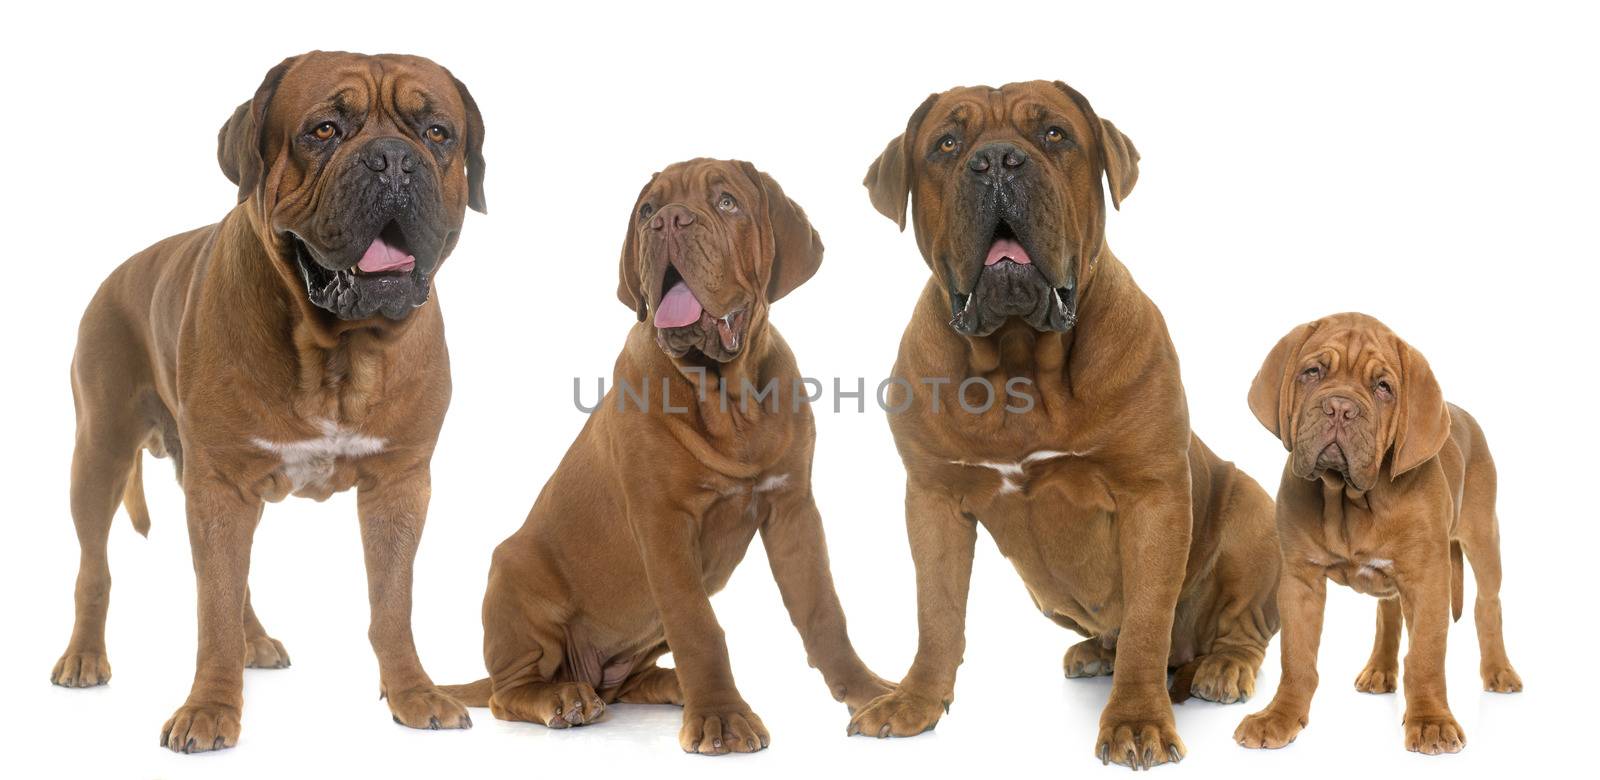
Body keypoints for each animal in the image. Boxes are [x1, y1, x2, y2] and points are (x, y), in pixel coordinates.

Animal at [54, 51, 486, 751]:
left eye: (437, 133)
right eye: (324, 130)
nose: (394, 159)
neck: (337, 351)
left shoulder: (399, 484)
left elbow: (392, 602)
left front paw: (413, 693)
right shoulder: (221, 485)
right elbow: (212, 610)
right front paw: (208, 709)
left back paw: (253, 640)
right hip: (100, 451)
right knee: (97, 568)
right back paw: (84, 657)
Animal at [444, 159, 896, 754]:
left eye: (727, 203)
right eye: (646, 211)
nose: (669, 223)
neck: (726, 401)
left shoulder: (793, 509)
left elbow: (824, 611)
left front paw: (871, 693)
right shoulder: (662, 521)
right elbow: (698, 624)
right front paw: (722, 717)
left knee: (624, 683)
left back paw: (671, 685)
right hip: (513, 571)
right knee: (509, 691)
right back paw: (562, 697)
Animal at [844, 80, 1280, 767]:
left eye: (1054, 135)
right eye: (947, 144)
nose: (997, 161)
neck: (1019, 366)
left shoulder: (1152, 496)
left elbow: (1148, 622)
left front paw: (1137, 721)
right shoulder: (933, 499)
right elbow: (936, 613)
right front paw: (915, 702)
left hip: (1253, 513)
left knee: (1241, 627)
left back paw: (1222, 668)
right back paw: (1095, 653)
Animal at [1235, 311, 1523, 754]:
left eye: (1383, 387)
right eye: (1312, 372)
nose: (1339, 407)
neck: (1349, 498)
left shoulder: (1428, 580)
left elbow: (1425, 656)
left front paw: (1431, 722)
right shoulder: (1300, 579)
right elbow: (1297, 658)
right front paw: (1279, 717)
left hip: (1483, 537)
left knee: (1487, 604)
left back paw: (1499, 671)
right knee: (1389, 614)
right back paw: (1379, 670)